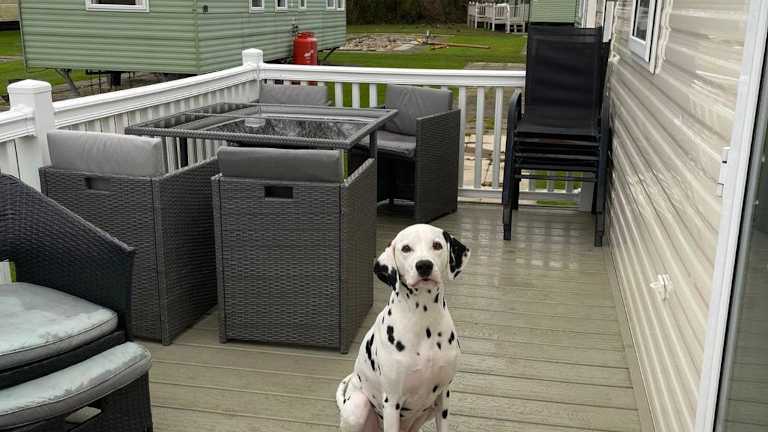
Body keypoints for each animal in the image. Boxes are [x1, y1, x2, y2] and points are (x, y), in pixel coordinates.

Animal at [336, 224, 470, 432]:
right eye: (406, 248)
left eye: (437, 245)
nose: (424, 265)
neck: (424, 318)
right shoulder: (392, 402)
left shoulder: (443, 396)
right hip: (358, 407)